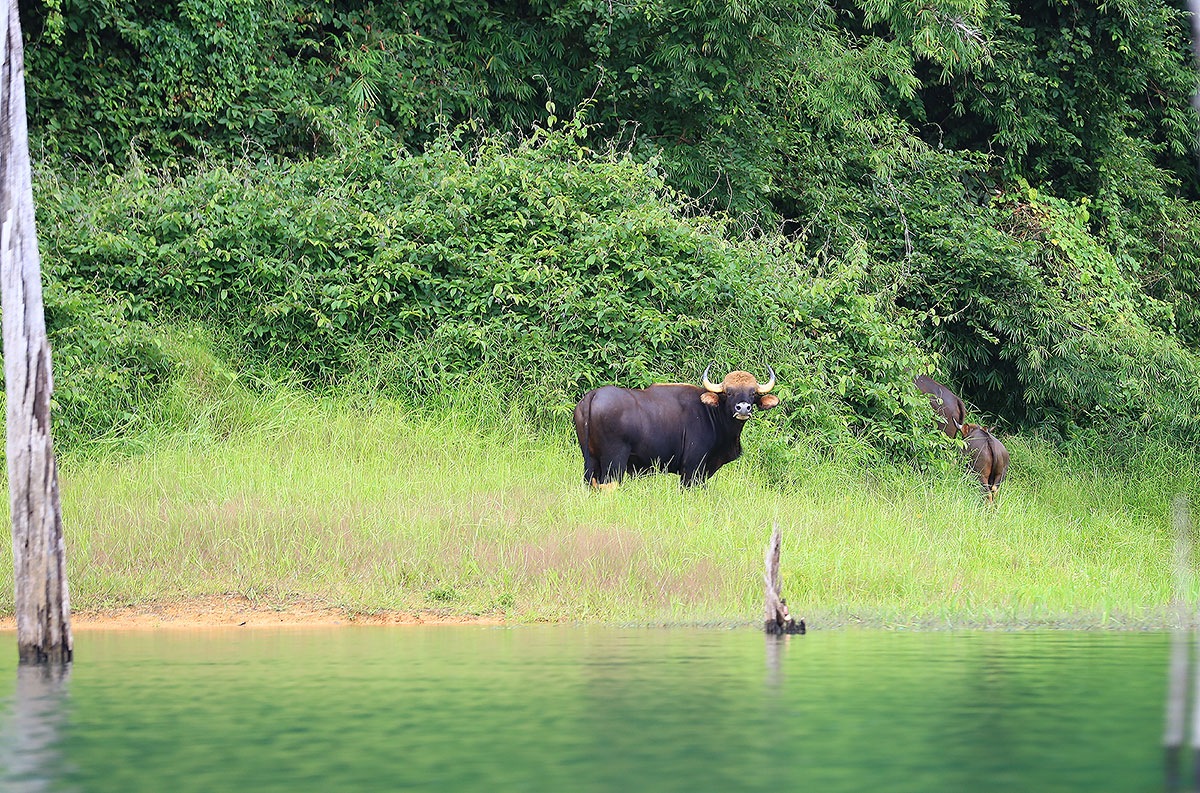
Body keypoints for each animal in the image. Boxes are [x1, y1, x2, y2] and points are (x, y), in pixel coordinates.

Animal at [576, 367, 782, 489]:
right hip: (614, 462)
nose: (743, 408)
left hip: (590, 462)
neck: (712, 414)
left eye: (752, 393)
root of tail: (593, 396)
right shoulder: (691, 469)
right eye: (729, 392)